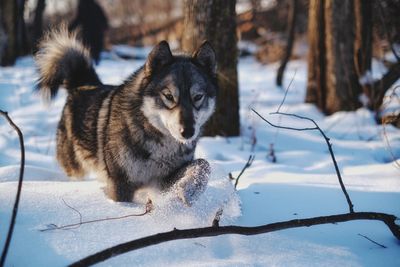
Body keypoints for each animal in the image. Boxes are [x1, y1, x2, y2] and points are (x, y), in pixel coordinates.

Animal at [36, 27, 217, 204]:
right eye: (169, 96)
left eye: (198, 97)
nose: (188, 132)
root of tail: (83, 84)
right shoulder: (121, 185)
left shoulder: (164, 181)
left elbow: (203, 164)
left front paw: (187, 191)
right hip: (76, 167)